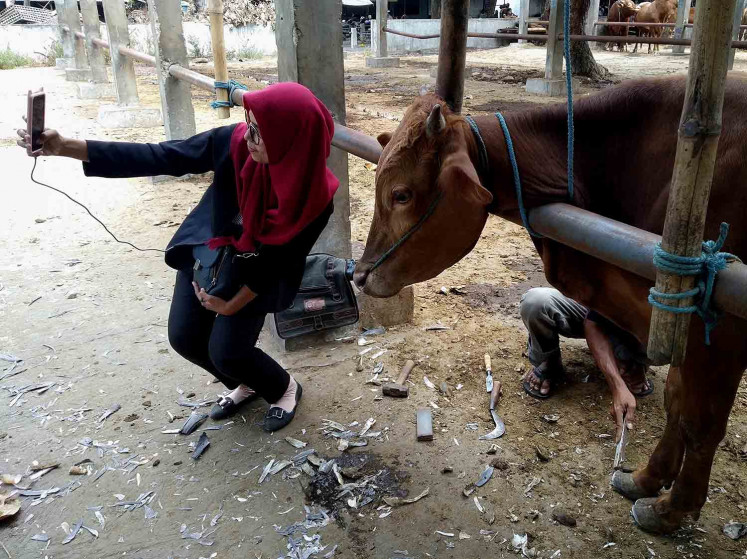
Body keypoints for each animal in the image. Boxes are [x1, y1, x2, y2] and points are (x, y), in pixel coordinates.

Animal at [353, 75, 747, 534]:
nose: (360, 276)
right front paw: (648, 479)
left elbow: (701, 422)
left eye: (400, 194)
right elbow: (676, 403)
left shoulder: (718, 330)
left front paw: (673, 508)